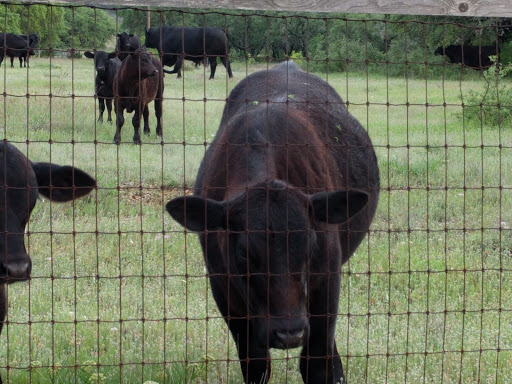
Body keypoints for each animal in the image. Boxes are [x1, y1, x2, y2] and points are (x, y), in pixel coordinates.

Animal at [167, 61, 380, 382]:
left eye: (311, 246)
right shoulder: (225, 292)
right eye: (244, 253)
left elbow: (316, 363)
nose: (288, 333)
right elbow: (256, 364)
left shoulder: (327, 284)